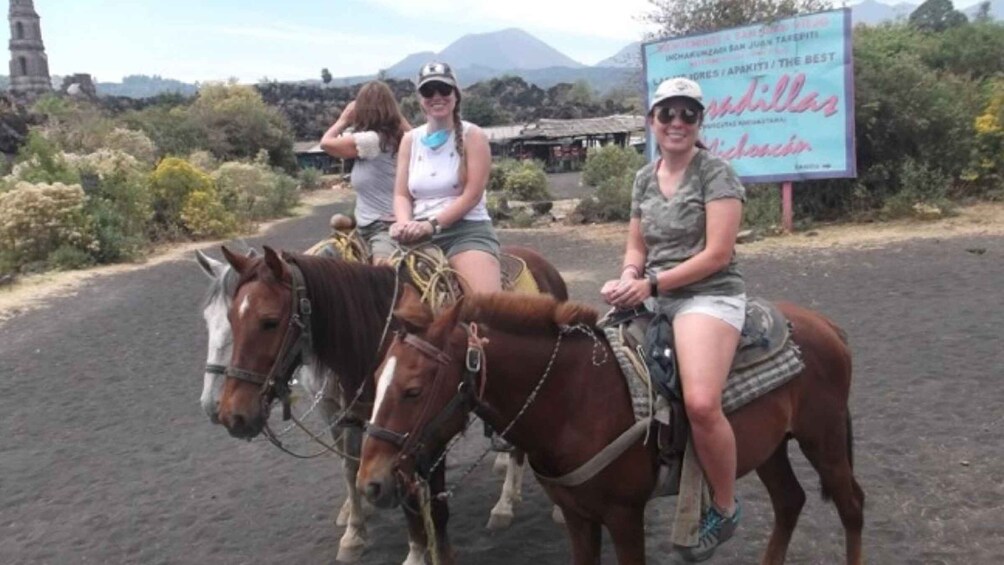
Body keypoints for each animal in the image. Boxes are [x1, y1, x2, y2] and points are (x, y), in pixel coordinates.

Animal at [216, 245, 570, 565]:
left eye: (270, 321)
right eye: (231, 318)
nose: (233, 414)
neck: (376, 339)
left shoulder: (429, 437)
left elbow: (434, 508)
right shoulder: (376, 434)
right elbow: (395, 498)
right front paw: (409, 551)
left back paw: (510, 506)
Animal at [355, 289, 863, 565]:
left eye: (413, 390)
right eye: (376, 381)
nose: (370, 484)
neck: (573, 399)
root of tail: (826, 325)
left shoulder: (624, 516)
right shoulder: (578, 517)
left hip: (824, 441)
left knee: (851, 507)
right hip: (770, 448)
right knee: (790, 501)